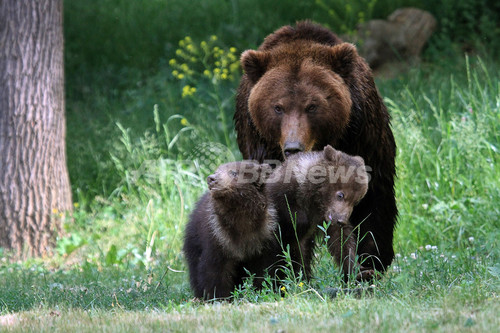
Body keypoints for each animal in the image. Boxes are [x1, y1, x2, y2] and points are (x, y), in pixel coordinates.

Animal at [235, 22, 398, 274]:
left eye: (312, 106)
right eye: (278, 107)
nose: (293, 147)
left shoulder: (361, 137)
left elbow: (373, 201)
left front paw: (370, 263)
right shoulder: (262, 147)